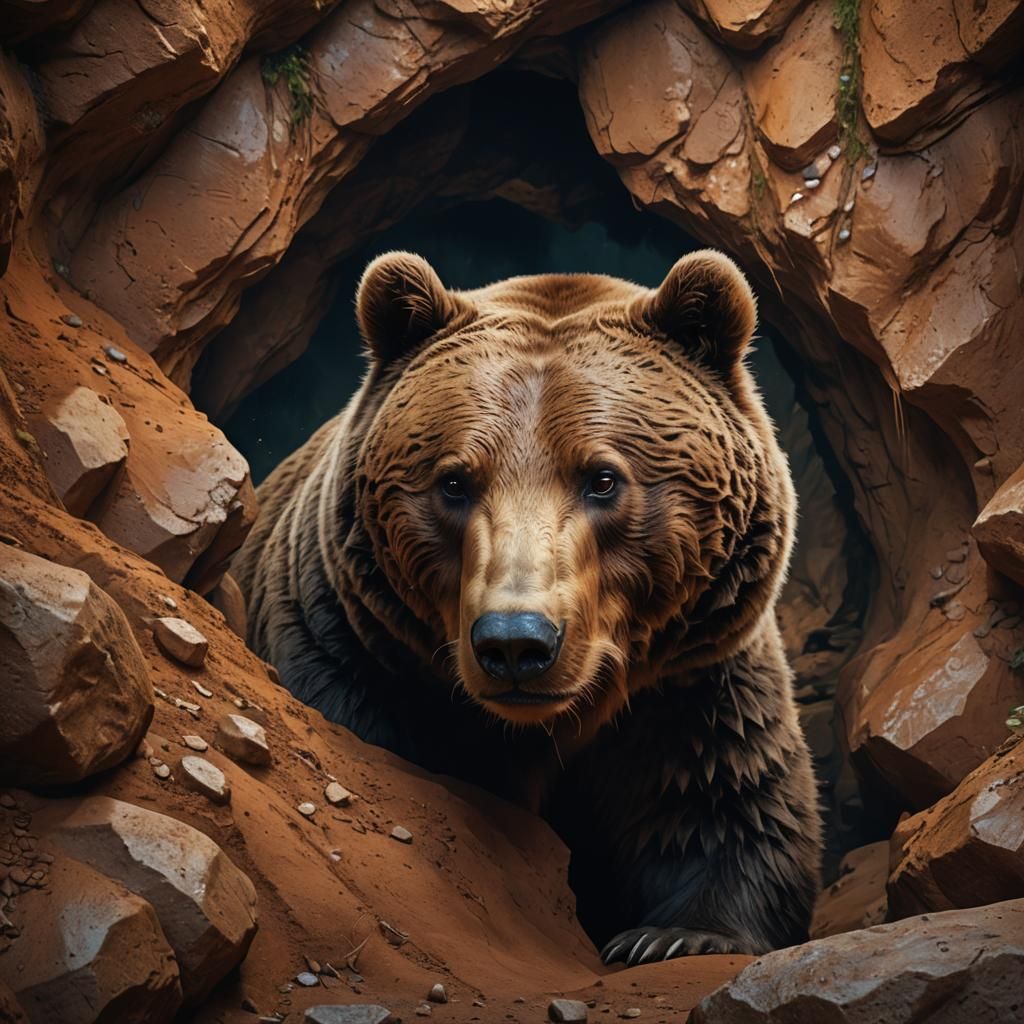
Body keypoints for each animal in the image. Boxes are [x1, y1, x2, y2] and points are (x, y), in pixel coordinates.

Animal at [231, 249, 822, 963]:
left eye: (602, 478)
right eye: (455, 481)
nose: (516, 642)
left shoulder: (692, 680)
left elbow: (723, 796)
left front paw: (673, 936)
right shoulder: (352, 650)